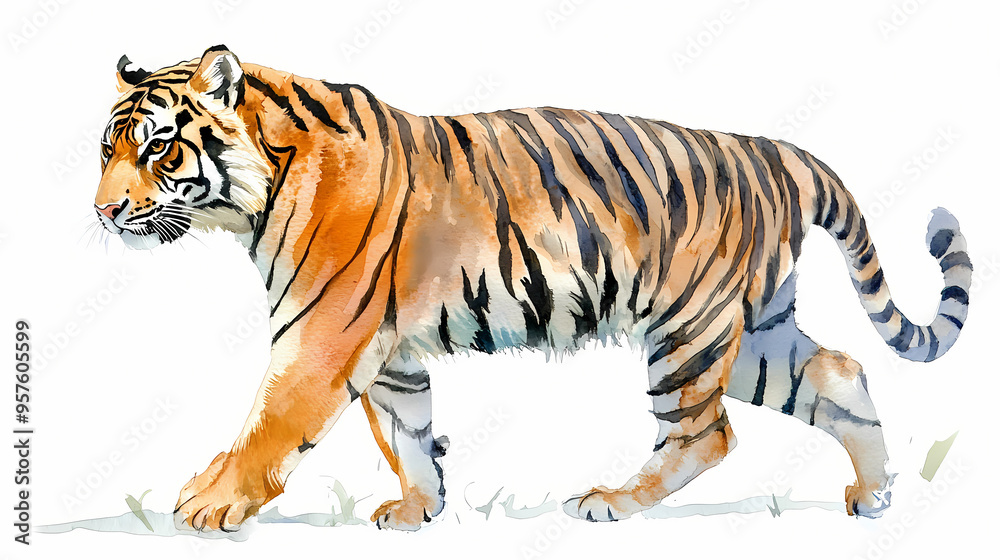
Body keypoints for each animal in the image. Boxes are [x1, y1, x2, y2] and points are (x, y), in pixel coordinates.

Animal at [93, 45, 972, 532]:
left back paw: (611, 501)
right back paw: (874, 495)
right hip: (752, 330)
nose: (101, 211)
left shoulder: (323, 332)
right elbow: (407, 431)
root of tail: (771, 150)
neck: (262, 186)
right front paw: (417, 511)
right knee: (840, 374)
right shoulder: (387, 348)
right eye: (107, 147)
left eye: (159, 148)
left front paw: (208, 504)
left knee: (707, 433)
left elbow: (272, 422)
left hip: (687, 329)